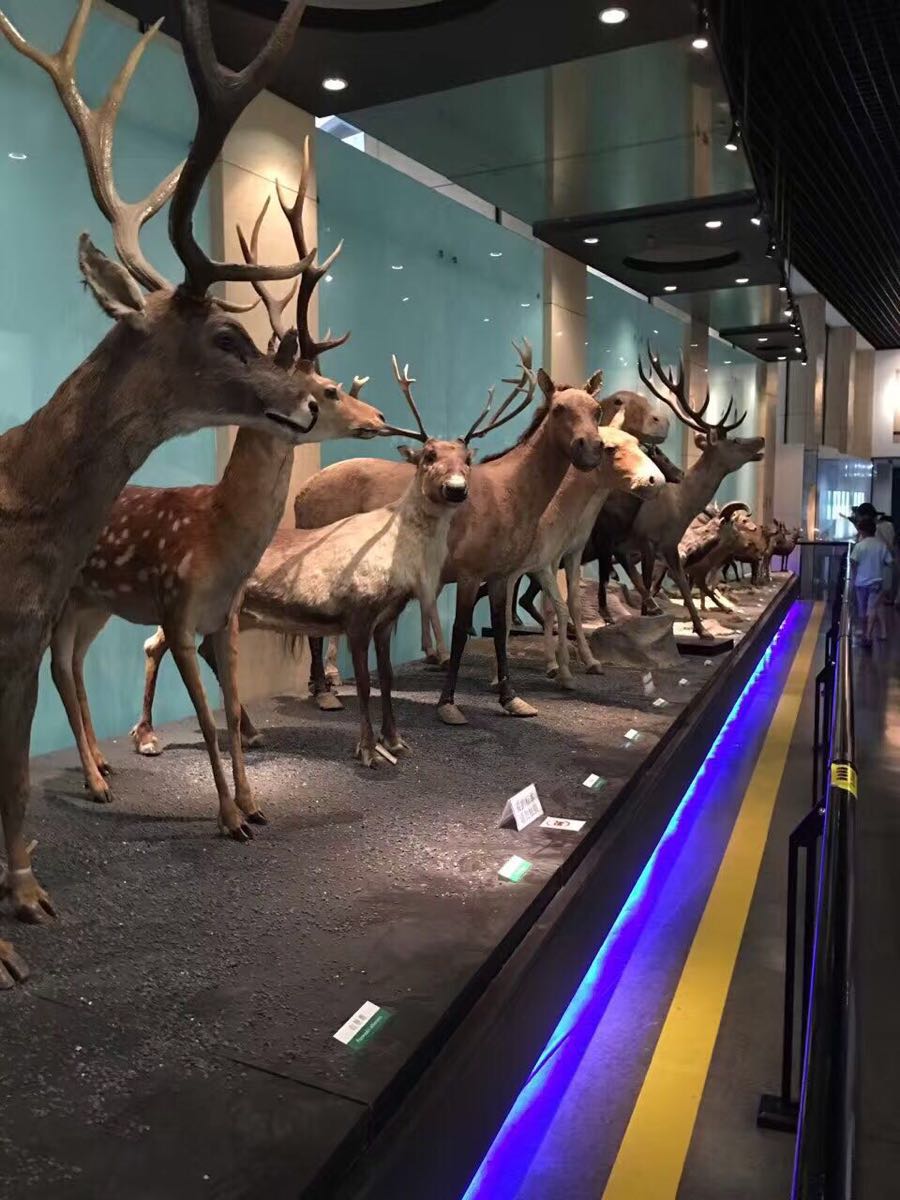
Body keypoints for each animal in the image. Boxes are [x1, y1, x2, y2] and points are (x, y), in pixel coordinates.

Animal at [49, 145, 388, 840]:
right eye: (329, 388)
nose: (378, 418)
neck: (213, 532)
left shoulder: (223, 619)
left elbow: (230, 714)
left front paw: (254, 803)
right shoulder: (177, 611)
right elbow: (207, 717)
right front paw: (230, 817)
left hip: (96, 602)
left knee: (72, 664)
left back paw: (104, 763)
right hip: (67, 595)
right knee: (54, 664)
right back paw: (98, 777)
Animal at [614, 350, 768, 643]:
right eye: (734, 440)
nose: (762, 439)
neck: (681, 505)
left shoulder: (669, 545)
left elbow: (684, 585)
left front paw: (702, 629)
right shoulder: (648, 539)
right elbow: (652, 582)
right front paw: (650, 623)